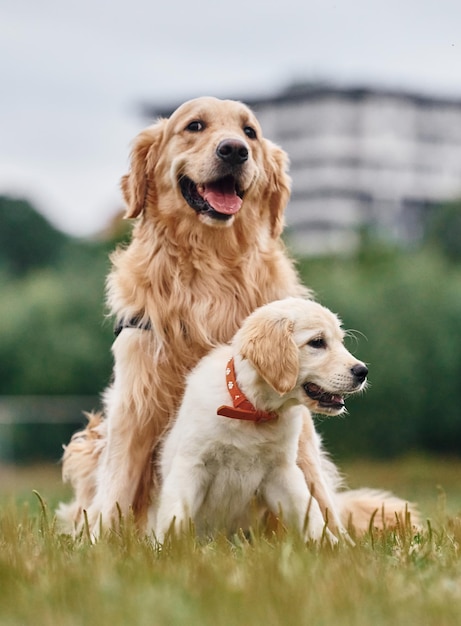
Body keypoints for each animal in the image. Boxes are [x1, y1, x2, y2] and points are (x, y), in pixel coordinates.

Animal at [153, 298, 368, 540]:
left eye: (341, 342)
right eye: (317, 342)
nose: (363, 371)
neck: (254, 411)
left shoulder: (282, 472)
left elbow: (309, 512)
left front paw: (329, 543)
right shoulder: (191, 464)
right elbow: (175, 514)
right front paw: (169, 546)